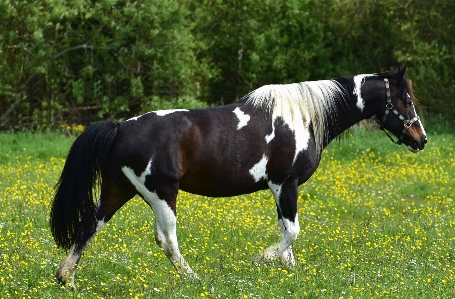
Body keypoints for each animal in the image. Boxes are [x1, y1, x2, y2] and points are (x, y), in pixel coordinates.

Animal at [50, 65, 428, 288]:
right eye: (404, 98)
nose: (421, 139)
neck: (302, 117)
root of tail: (120, 128)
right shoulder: (285, 185)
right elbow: (292, 232)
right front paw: (264, 259)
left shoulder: (280, 190)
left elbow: (287, 233)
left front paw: (290, 272)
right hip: (162, 194)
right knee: (167, 240)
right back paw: (195, 279)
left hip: (119, 189)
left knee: (89, 226)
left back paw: (66, 278)